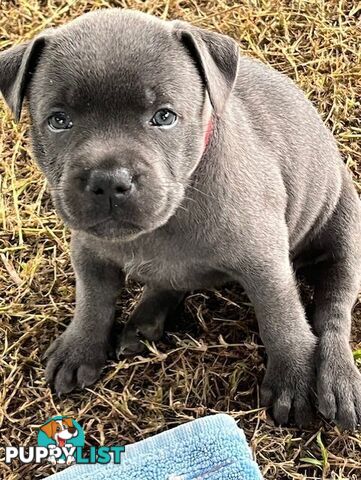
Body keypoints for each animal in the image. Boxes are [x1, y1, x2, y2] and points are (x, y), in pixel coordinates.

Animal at [0, 8, 360, 428]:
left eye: (164, 117)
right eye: (58, 121)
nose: (109, 180)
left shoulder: (264, 262)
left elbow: (281, 317)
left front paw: (293, 379)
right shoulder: (89, 251)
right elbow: (92, 300)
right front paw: (79, 349)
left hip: (343, 230)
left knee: (334, 309)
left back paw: (338, 377)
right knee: (169, 280)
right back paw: (145, 319)